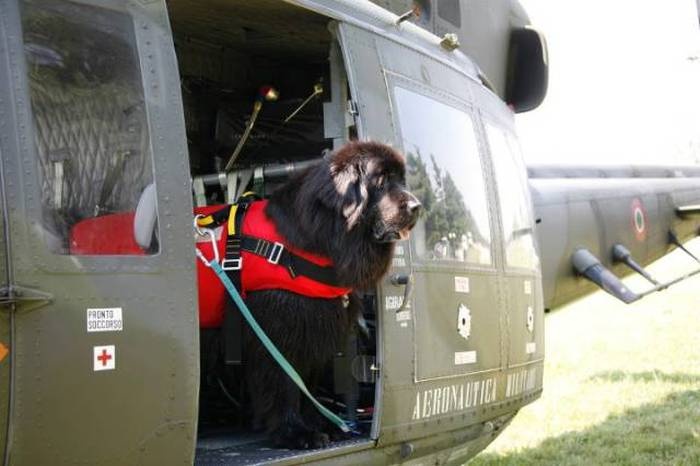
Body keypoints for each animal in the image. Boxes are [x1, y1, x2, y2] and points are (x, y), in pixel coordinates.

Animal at [243, 141, 418, 448]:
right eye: (381, 180)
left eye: (400, 180)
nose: (417, 206)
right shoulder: (278, 330)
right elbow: (284, 381)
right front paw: (295, 433)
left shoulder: (316, 330)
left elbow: (307, 383)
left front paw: (320, 423)